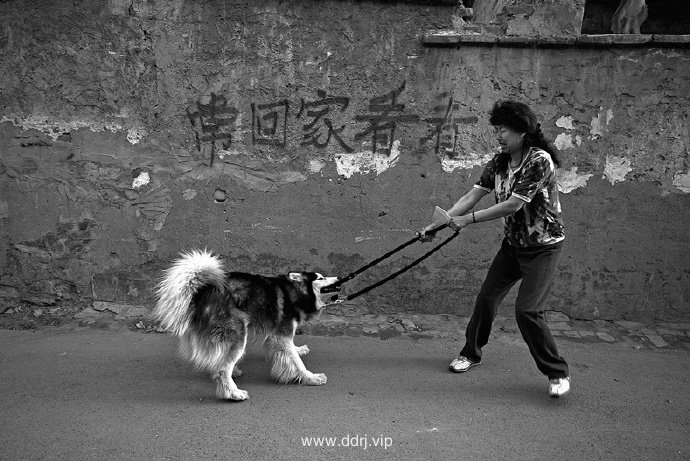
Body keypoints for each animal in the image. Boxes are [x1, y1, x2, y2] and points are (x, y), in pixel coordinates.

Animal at [155, 248, 340, 398]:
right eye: (321, 278)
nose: (339, 277)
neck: (293, 293)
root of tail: (202, 292)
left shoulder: (278, 335)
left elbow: (292, 351)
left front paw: (299, 349)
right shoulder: (282, 335)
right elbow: (297, 362)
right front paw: (311, 378)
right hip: (237, 334)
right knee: (222, 370)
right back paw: (233, 393)